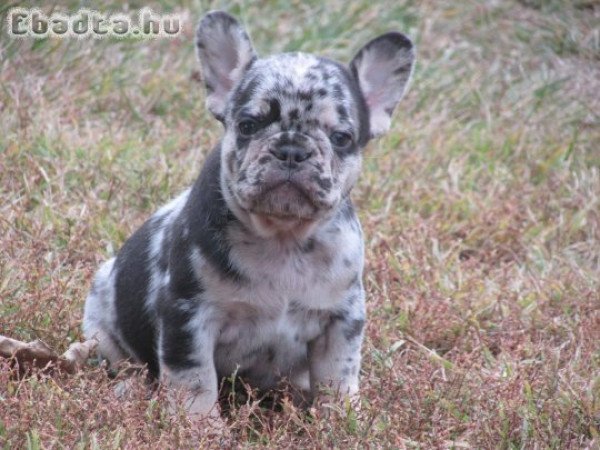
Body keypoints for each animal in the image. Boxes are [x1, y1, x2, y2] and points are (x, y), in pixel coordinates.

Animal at [82, 10, 414, 424]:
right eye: (248, 125)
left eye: (341, 138)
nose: (292, 149)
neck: (282, 238)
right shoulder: (188, 315)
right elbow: (195, 380)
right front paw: (200, 427)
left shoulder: (341, 320)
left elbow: (338, 375)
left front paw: (342, 422)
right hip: (102, 315)